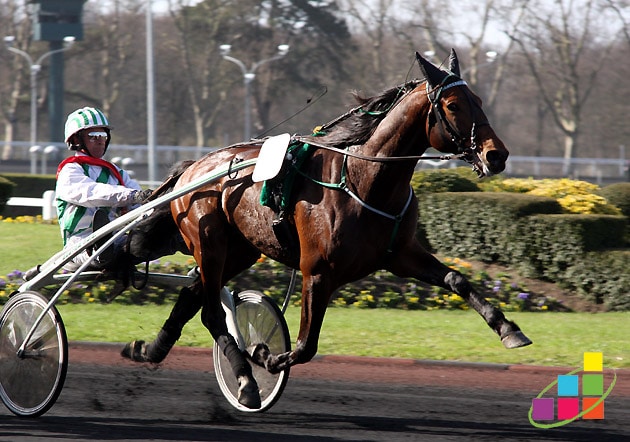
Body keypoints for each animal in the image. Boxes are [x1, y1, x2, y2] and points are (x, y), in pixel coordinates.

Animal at [119, 50, 532, 410]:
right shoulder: (316, 271)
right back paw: (246, 381)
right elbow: (305, 346)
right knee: (209, 312)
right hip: (209, 242)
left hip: (240, 249)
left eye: (477, 99)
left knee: (192, 297)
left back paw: (149, 349)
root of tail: (193, 166)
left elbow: (456, 280)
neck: (366, 180)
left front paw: (508, 329)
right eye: (453, 105)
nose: (496, 155)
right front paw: (266, 356)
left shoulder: (400, 254)